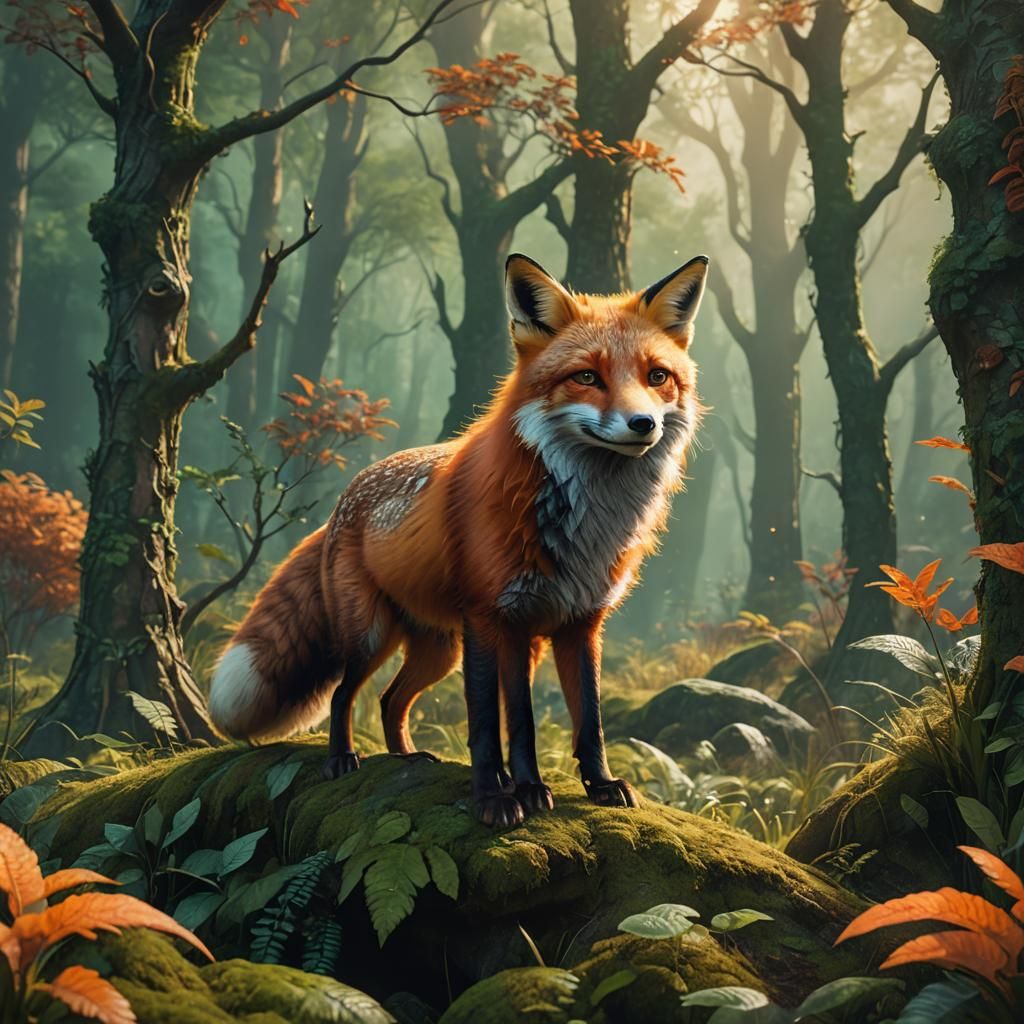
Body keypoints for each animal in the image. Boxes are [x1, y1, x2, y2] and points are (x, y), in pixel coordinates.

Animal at [209, 252, 709, 826]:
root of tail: (344, 498)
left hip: (438, 651)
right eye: (587, 376)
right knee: (342, 695)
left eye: (657, 377)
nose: (643, 423)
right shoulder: (494, 619)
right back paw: (343, 759)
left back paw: (406, 759)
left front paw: (593, 785)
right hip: (372, 637)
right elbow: (498, 725)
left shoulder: (577, 625)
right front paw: (500, 797)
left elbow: (586, 719)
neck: (584, 524)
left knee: (390, 701)